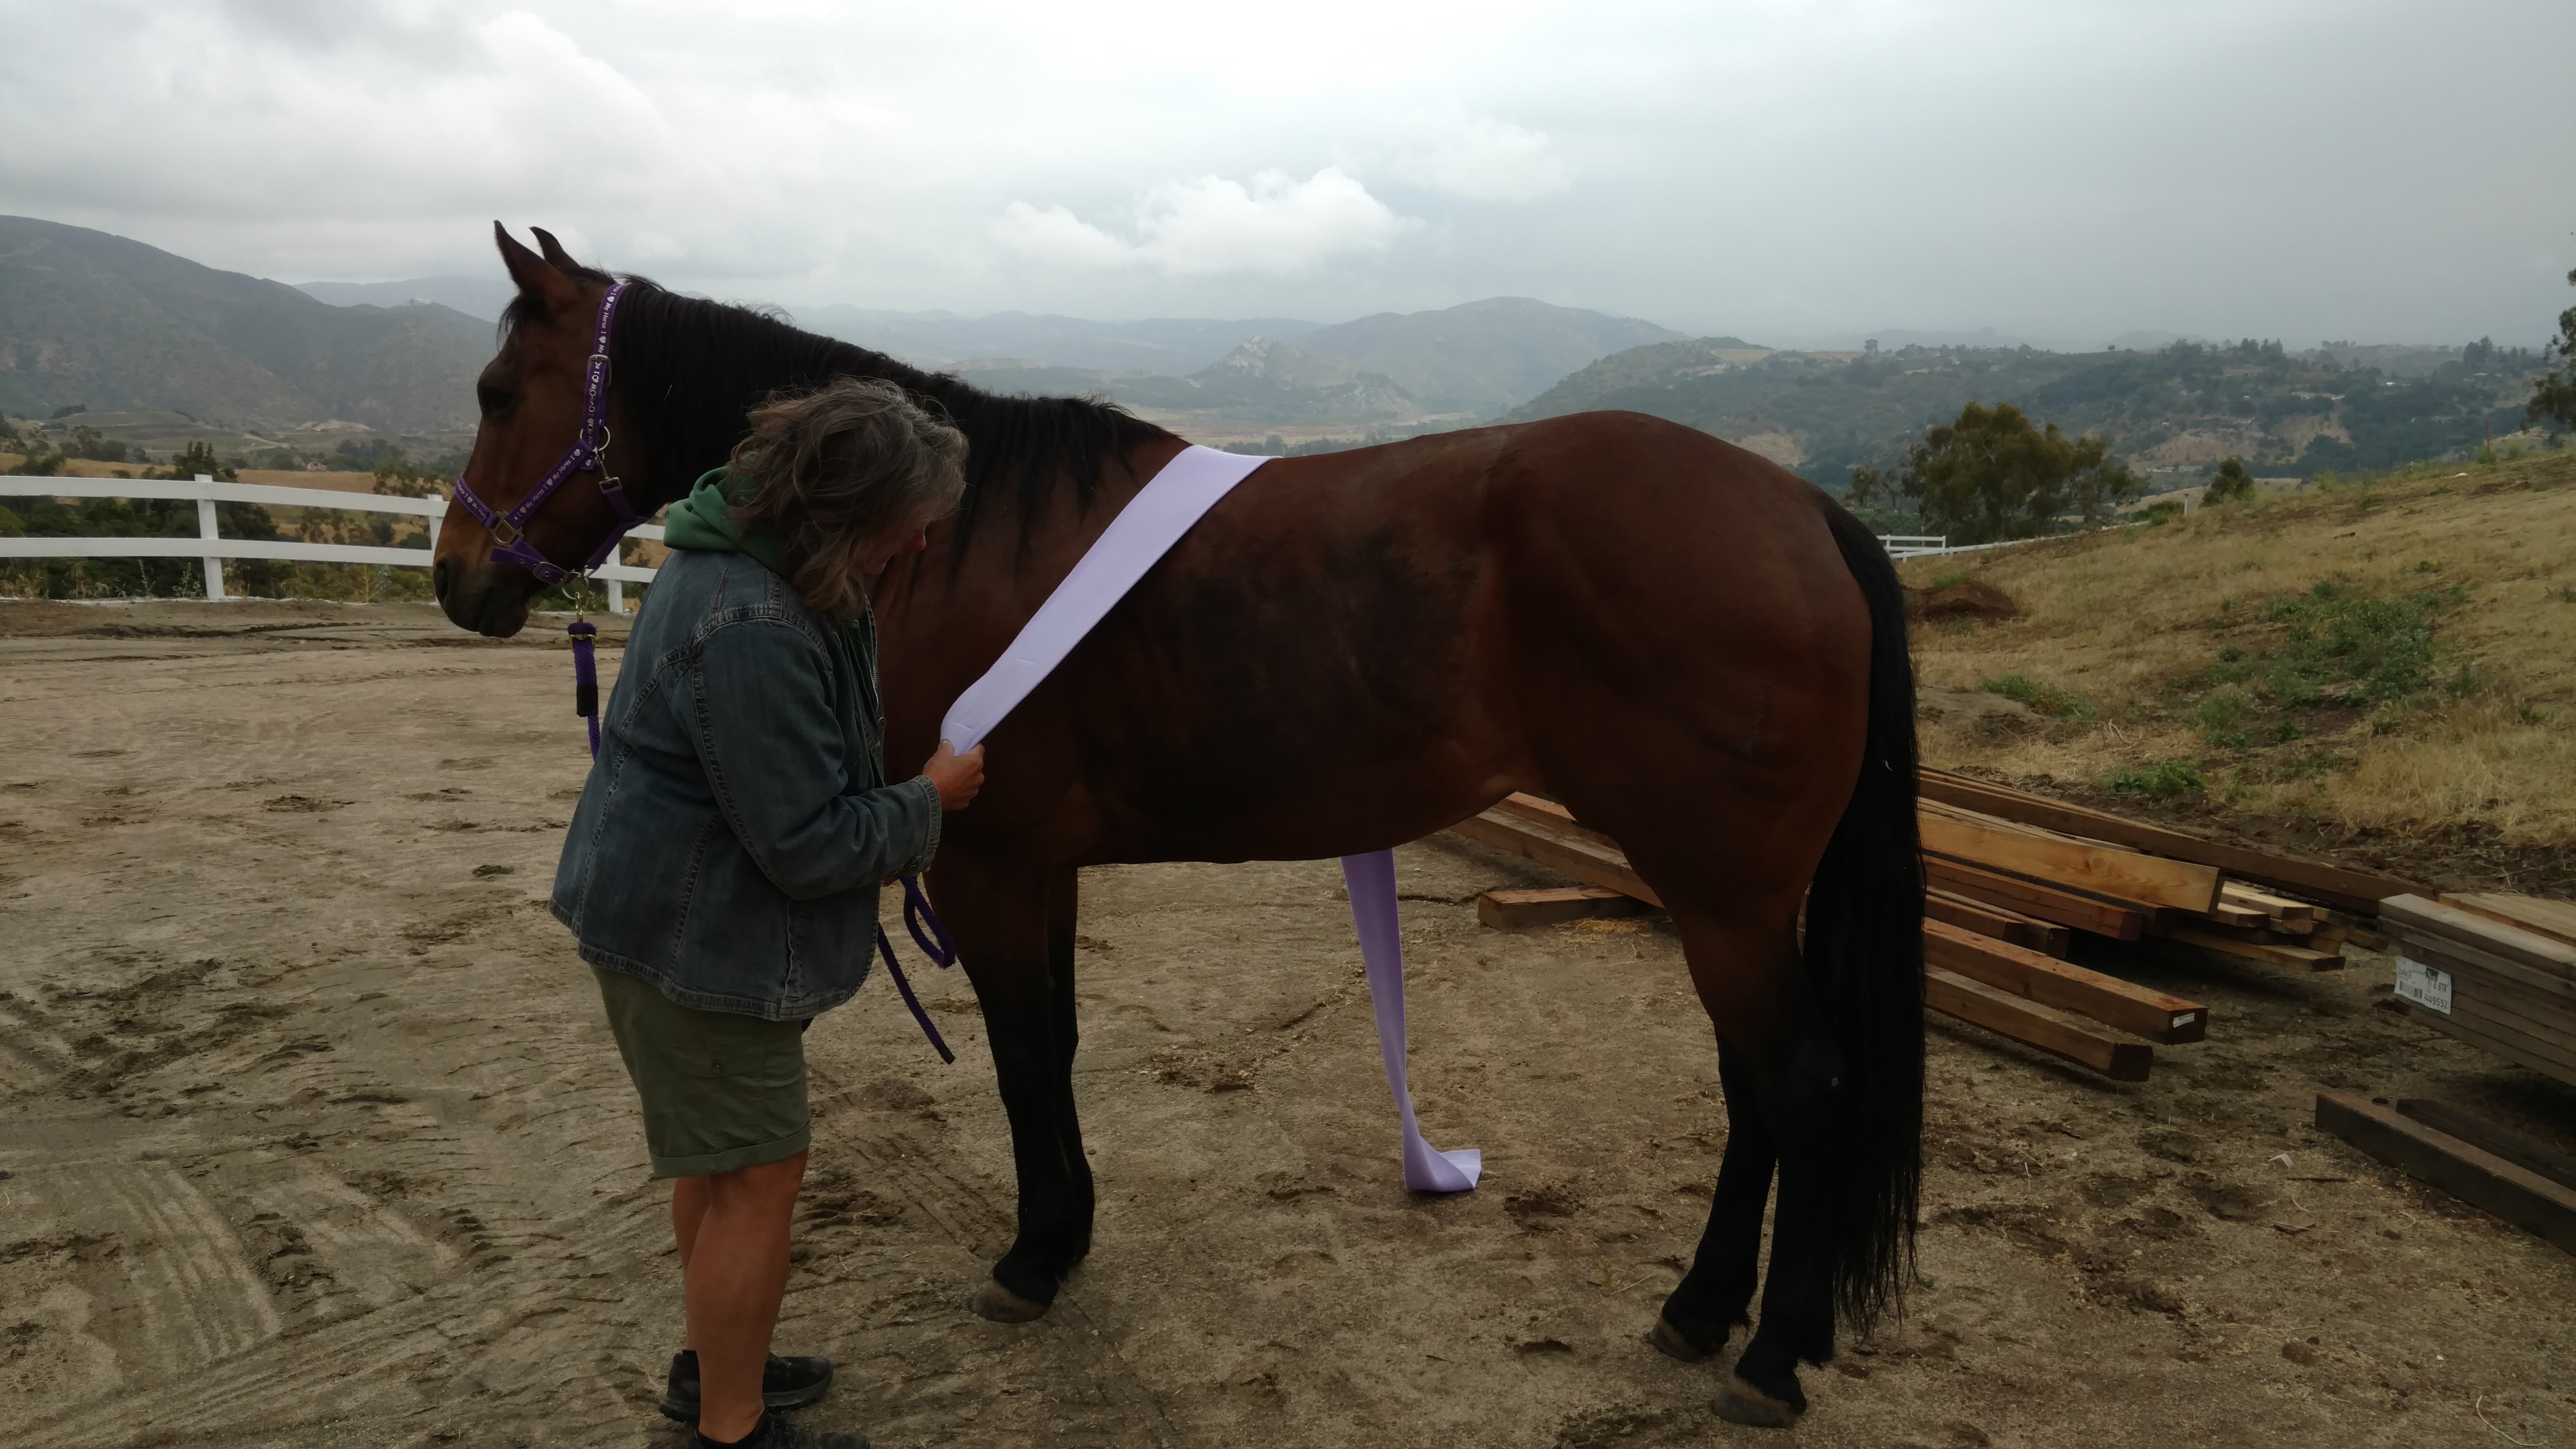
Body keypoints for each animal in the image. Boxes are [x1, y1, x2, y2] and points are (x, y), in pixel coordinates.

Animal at [436, 224, 1925, 1428]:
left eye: (501, 393)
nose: (460, 580)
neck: (954, 540)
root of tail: (1806, 509)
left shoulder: (986, 865)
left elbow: (1022, 1057)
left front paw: (1031, 1258)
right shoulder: (1039, 866)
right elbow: (1056, 1045)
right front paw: (1068, 1232)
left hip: (1723, 894)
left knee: (1800, 1084)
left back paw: (1767, 1354)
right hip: (1723, 895)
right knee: (1752, 1090)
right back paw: (1700, 1309)